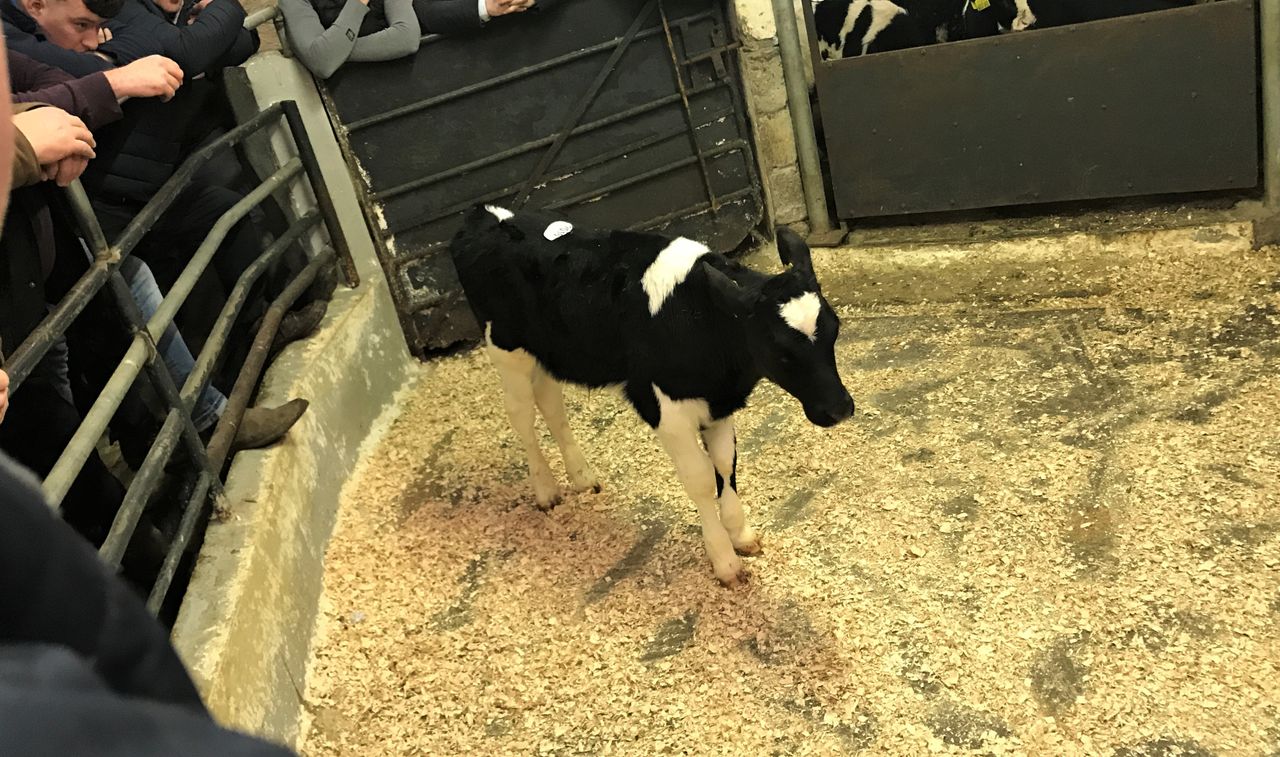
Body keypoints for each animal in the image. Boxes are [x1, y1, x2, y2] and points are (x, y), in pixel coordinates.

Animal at [448, 205, 854, 587]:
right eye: (781, 352)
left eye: (835, 329)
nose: (840, 408)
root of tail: (485, 215)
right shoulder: (665, 408)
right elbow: (702, 479)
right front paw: (725, 561)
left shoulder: (718, 402)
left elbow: (726, 465)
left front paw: (741, 534)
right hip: (505, 347)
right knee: (521, 415)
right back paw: (546, 490)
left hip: (547, 353)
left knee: (551, 405)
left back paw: (582, 477)